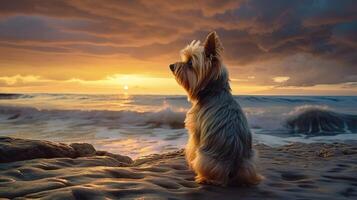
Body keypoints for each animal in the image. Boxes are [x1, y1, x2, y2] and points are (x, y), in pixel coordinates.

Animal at [168, 30, 262, 186]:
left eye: (190, 63)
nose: (171, 66)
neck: (214, 91)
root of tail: (233, 166)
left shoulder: (196, 131)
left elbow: (192, 148)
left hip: (205, 158)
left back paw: (202, 178)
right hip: (250, 161)